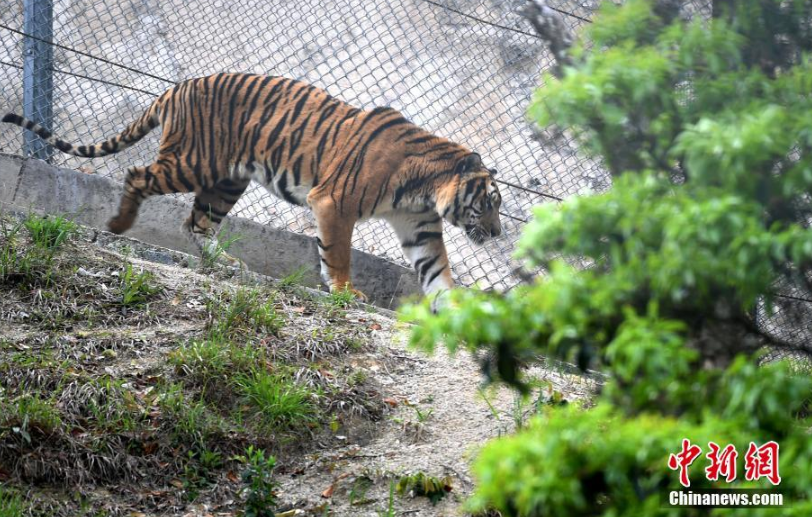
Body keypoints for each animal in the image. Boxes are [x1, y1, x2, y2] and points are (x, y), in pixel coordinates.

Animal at [3, 71, 502, 302]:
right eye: (489, 203)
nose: (497, 233)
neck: (424, 188)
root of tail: (178, 86)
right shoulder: (334, 202)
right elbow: (338, 252)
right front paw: (344, 290)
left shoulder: (419, 226)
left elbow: (437, 272)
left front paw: (456, 309)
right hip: (192, 162)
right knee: (137, 176)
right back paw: (119, 225)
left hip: (226, 181)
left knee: (196, 223)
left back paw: (226, 264)